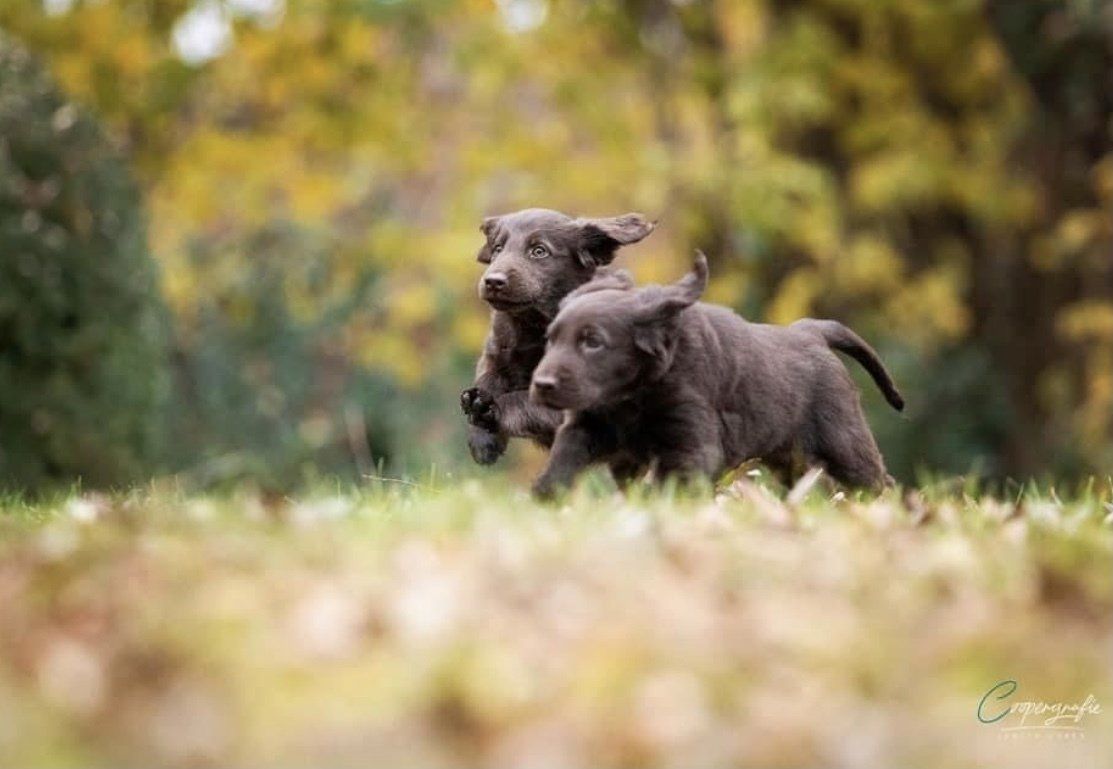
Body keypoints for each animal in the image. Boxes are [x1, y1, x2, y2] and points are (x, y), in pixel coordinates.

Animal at [460, 208, 655, 465]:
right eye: (498, 248)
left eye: (539, 251)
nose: (493, 281)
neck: (534, 326)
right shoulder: (496, 352)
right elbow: (486, 379)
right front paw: (482, 439)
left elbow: (523, 400)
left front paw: (489, 410)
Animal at [528, 252, 904, 497]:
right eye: (550, 339)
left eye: (593, 342)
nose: (542, 385)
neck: (632, 397)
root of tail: (811, 330)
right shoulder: (589, 424)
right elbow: (564, 458)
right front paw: (545, 497)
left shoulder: (691, 439)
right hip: (790, 456)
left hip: (844, 442)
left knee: (877, 481)